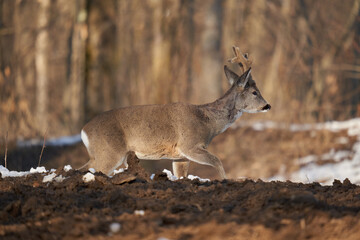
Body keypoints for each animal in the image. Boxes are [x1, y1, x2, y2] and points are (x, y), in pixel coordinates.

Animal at [81, 46, 270, 179]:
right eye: (255, 92)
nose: (267, 105)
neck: (208, 121)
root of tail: (84, 131)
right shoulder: (189, 144)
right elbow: (217, 161)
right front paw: (225, 181)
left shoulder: (180, 156)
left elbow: (181, 176)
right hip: (110, 152)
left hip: (99, 153)